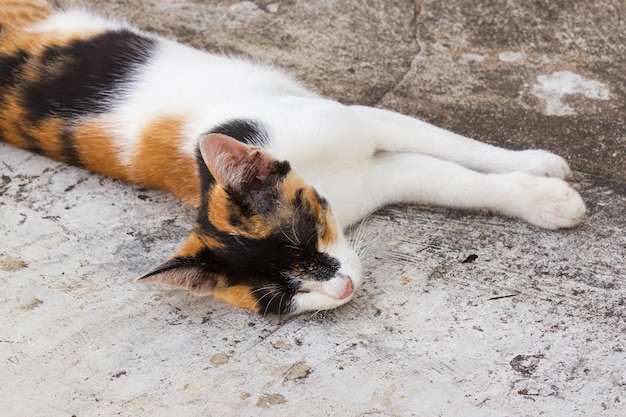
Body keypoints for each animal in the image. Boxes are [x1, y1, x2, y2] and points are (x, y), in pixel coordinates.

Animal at [0, 0, 584, 316]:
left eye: (304, 238)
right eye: (282, 294)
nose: (341, 287)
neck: (328, 179)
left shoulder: (362, 121)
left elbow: (457, 148)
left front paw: (539, 166)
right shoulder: (380, 174)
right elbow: (455, 181)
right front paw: (544, 196)